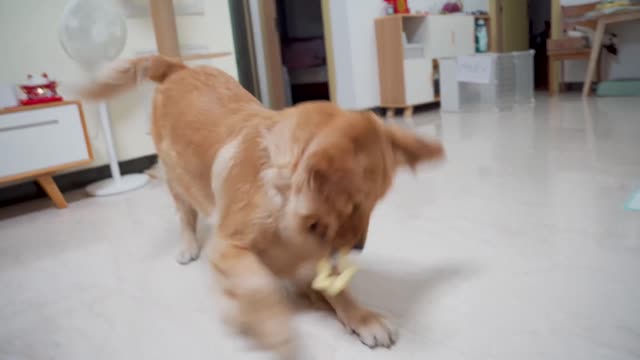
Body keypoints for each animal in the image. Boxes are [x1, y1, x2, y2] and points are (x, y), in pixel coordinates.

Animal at [82, 55, 444, 358]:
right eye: (354, 204)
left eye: (374, 203)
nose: (358, 248)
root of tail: (179, 68)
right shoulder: (227, 247)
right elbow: (258, 285)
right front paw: (275, 329)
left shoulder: (312, 259)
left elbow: (338, 289)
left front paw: (364, 318)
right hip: (176, 179)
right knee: (185, 214)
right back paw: (187, 246)